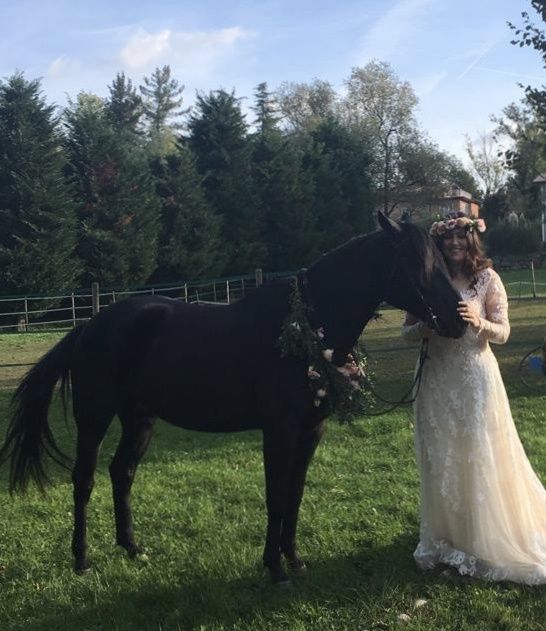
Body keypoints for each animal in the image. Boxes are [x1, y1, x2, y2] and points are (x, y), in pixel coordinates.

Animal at [0, 215, 464, 584]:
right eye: (419, 264)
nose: (458, 320)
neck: (302, 331)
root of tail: (90, 326)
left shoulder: (311, 431)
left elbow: (295, 495)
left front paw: (294, 559)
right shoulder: (279, 432)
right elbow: (276, 496)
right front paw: (274, 567)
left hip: (140, 419)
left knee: (122, 472)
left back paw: (133, 548)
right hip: (94, 417)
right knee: (84, 480)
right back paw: (81, 559)